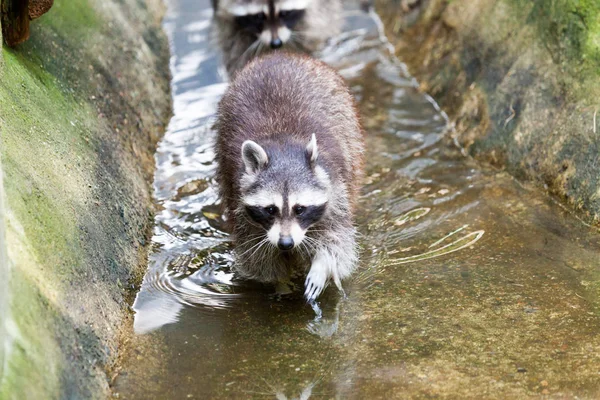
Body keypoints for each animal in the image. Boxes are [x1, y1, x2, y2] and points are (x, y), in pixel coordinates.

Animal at [216, 54, 366, 304]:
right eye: (270, 209)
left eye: (300, 208)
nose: (285, 243)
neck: (283, 145)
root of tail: (278, 56)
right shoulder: (240, 203)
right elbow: (258, 258)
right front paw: (281, 283)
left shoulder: (336, 190)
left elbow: (337, 242)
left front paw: (321, 265)